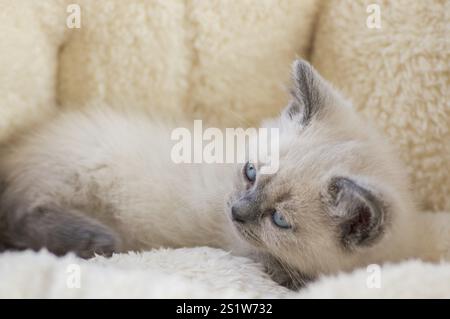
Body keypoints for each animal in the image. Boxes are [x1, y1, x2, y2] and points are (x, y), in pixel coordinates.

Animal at [0, 60, 426, 290]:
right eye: (250, 172)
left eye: (279, 220)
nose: (236, 211)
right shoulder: (246, 251)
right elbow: (286, 272)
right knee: (19, 217)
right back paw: (95, 240)